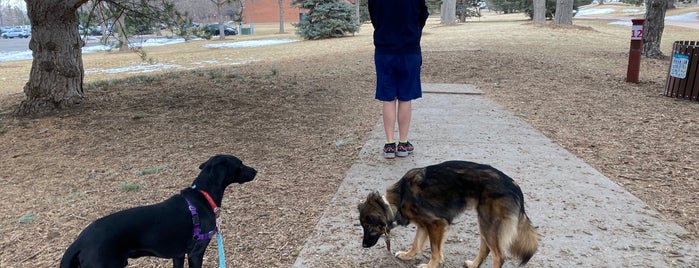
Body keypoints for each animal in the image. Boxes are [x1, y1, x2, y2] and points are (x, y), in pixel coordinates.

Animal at [59, 154, 258, 266]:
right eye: (240, 163)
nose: (255, 170)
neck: (203, 194)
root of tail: (79, 242)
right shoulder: (196, 252)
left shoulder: (178, 255)